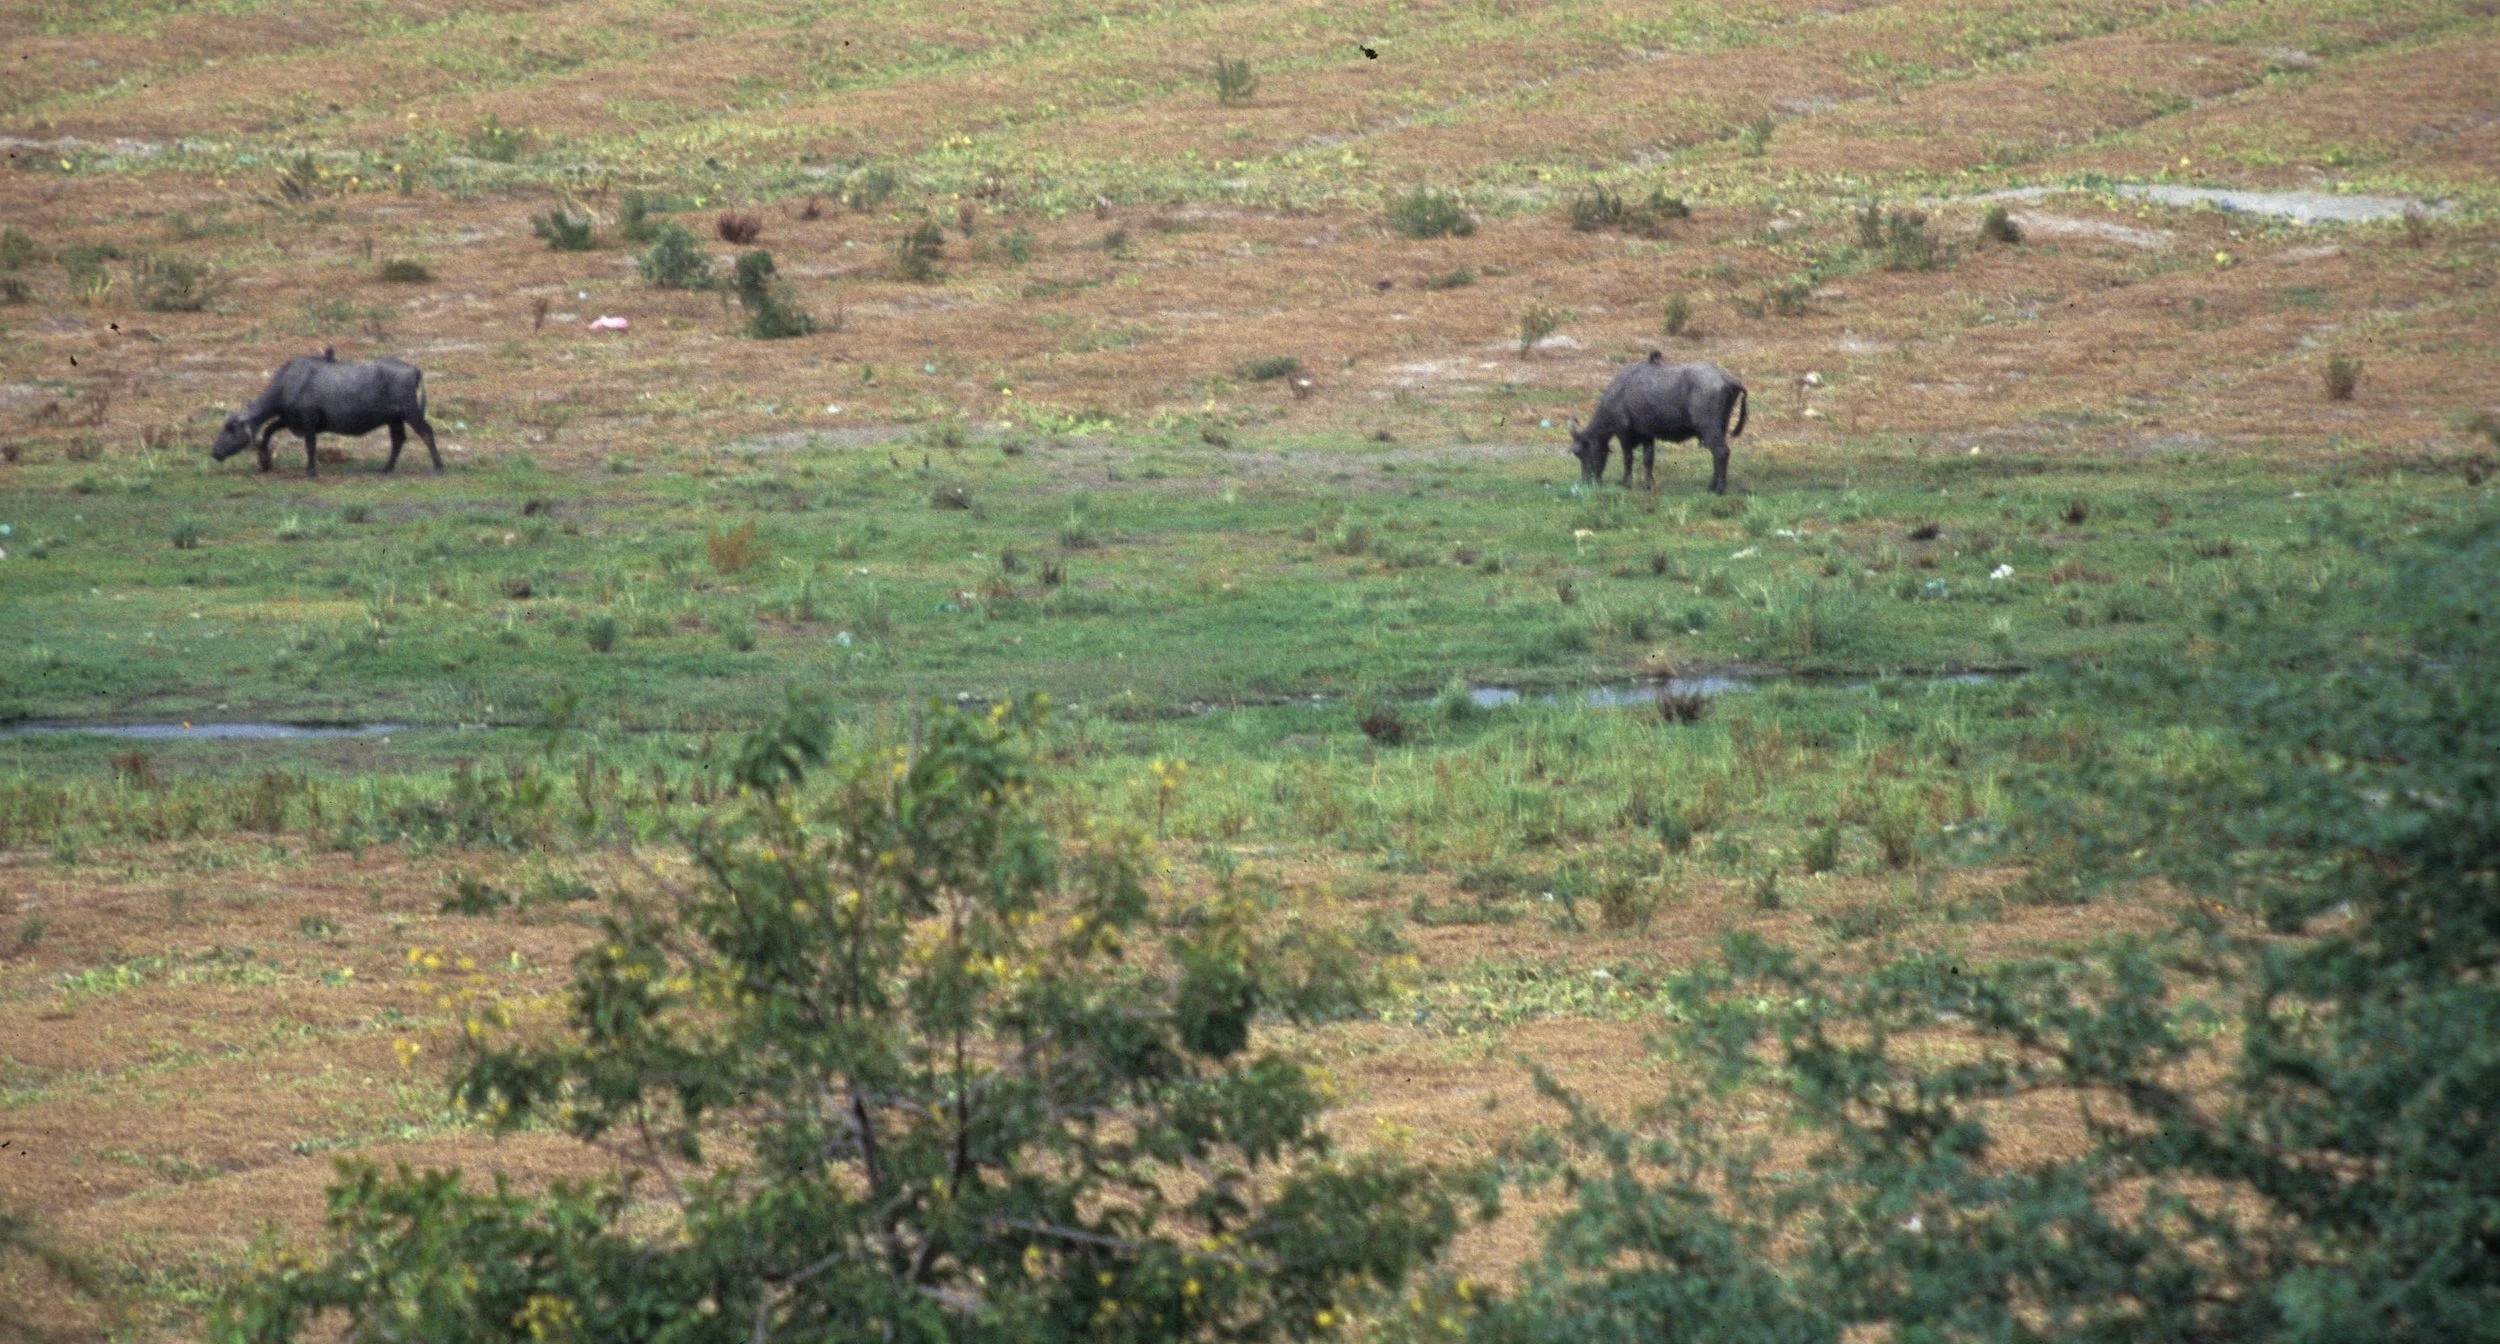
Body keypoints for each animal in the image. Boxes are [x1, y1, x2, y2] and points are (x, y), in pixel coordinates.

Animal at [211, 348, 439, 476]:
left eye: (231, 428)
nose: (214, 452)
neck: (289, 383)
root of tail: (413, 370)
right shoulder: (288, 419)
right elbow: (267, 431)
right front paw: (265, 462)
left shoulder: (308, 421)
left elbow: (310, 445)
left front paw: (310, 470)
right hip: (394, 419)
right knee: (398, 440)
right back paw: (386, 469)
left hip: (411, 414)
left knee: (427, 433)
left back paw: (438, 466)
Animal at [1568, 352, 1748, 494]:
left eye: (1581, 452)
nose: (1587, 482)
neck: (1618, 393)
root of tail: (1726, 379)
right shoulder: (1647, 434)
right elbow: (1648, 460)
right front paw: (1648, 485)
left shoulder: (1623, 433)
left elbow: (1628, 458)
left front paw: (1626, 483)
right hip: (1721, 426)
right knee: (1716, 454)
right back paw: (1711, 486)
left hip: (1709, 427)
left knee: (1721, 452)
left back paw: (1719, 489)